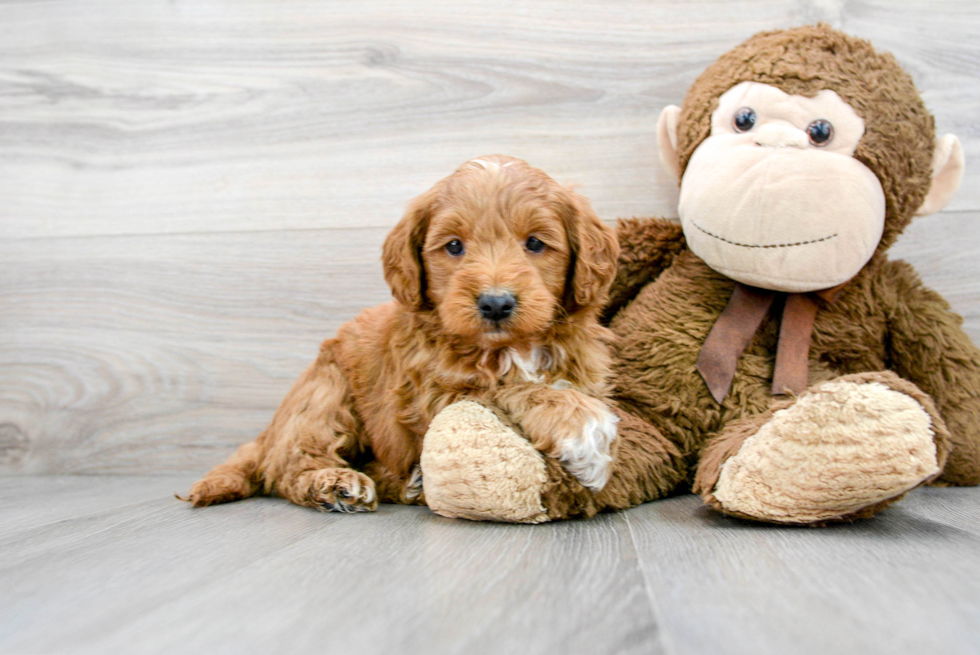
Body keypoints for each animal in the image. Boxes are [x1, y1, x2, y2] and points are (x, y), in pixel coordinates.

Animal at [180, 156, 616, 516]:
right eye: (454, 246)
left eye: (536, 243)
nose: (495, 303)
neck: (507, 348)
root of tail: (269, 431)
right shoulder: (431, 394)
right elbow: (508, 386)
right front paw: (585, 434)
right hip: (326, 393)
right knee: (289, 463)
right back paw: (335, 484)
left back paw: (406, 483)